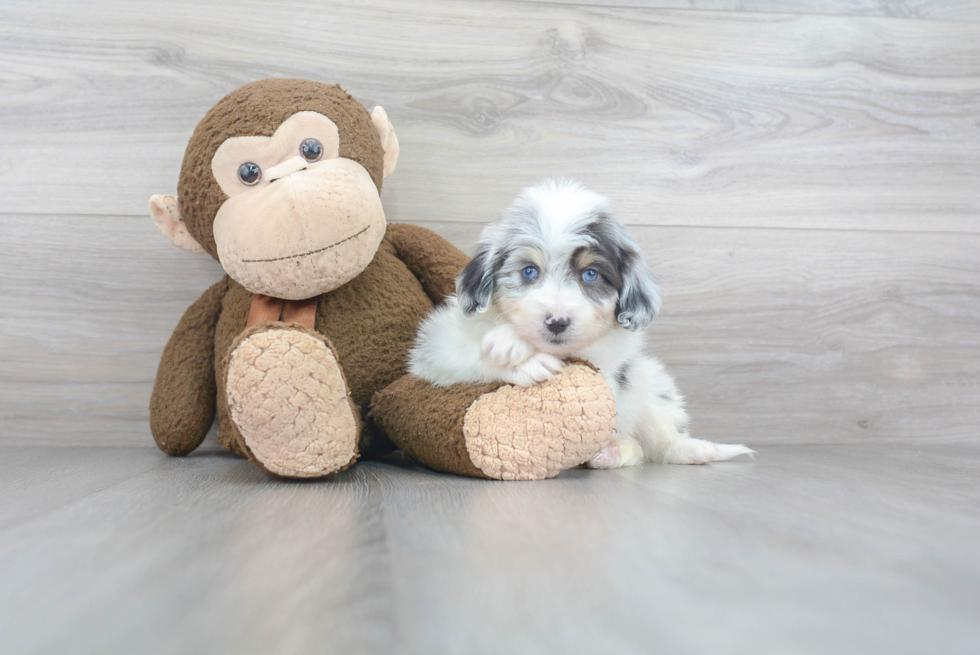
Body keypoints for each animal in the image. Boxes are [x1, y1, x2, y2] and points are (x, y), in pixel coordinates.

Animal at [406, 178, 752, 466]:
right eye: (529, 271)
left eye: (590, 274)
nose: (557, 322)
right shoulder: (435, 348)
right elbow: (464, 353)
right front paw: (515, 350)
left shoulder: (607, 361)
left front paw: (513, 341)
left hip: (650, 382)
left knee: (653, 443)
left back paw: (679, 449)